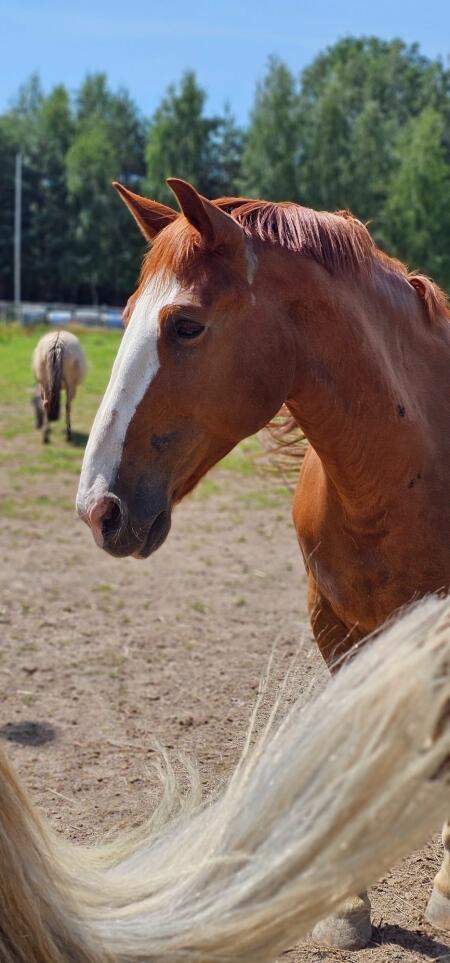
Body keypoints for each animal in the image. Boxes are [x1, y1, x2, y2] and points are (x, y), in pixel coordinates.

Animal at [73, 177, 450, 944]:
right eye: (123, 316)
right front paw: (343, 902)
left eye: (186, 325)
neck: (405, 472)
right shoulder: (335, 628)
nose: (98, 508)